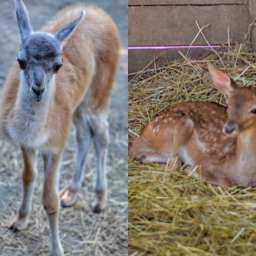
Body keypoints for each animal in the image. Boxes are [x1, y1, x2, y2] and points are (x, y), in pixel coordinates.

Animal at [0, 1, 120, 255]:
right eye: (21, 60)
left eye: (57, 65)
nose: (38, 88)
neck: (36, 133)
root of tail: (96, 11)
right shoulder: (27, 145)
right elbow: (28, 176)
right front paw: (19, 221)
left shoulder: (55, 148)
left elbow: (49, 199)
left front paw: (57, 249)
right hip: (78, 106)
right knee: (84, 136)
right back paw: (71, 194)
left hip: (99, 95)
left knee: (102, 134)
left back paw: (99, 200)